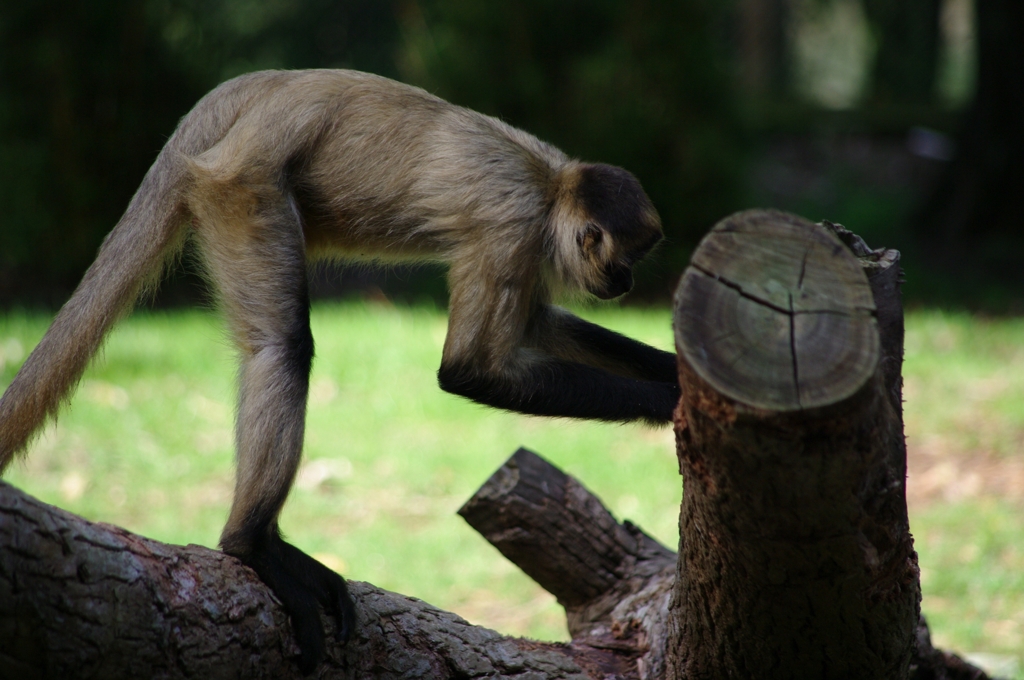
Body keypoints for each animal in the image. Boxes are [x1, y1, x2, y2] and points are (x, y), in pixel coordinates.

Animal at [0, 67, 679, 667]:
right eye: (624, 261)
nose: (627, 284)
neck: (552, 182)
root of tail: (264, 88)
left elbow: (535, 325)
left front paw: (675, 370)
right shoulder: (512, 225)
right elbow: (466, 369)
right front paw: (665, 405)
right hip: (242, 189)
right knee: (283, 346)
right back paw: (250, 545)